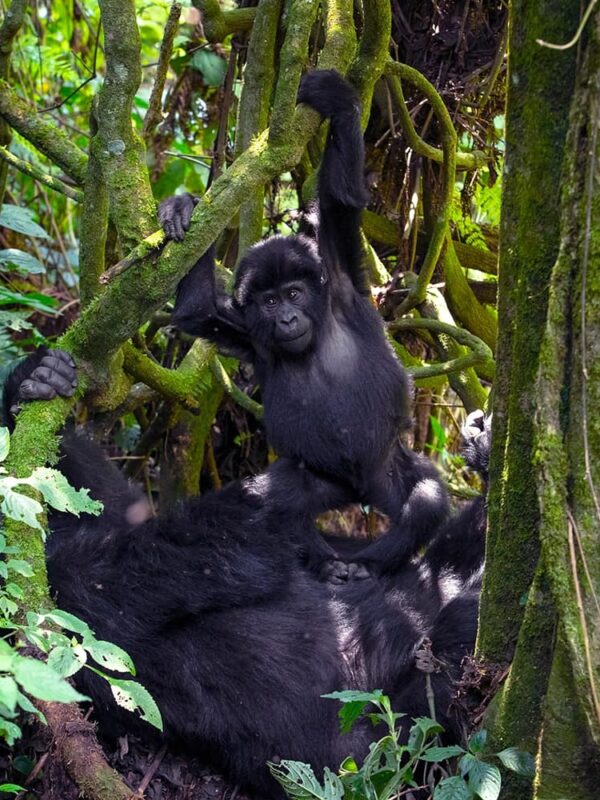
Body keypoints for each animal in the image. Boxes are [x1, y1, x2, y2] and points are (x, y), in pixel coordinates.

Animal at [3, 352, 488, 800]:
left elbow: (114, 500)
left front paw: (36, 381)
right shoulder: (80, 585)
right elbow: (238, 548)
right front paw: (317, 475)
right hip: (387, 756)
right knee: (451, 645)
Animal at [159, 69, 450, 580]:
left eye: (294, 294)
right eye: (271, 302)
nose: (289, 317)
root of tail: (359, 494)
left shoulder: (339, 283)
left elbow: (340, 200)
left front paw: (335, 99)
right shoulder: (248, 333)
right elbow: (198, 312)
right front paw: (184, 209)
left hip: (386, 468)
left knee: (426, 499)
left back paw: (367, 565)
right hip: (326, 482)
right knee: (278, 497)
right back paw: (321, 560)